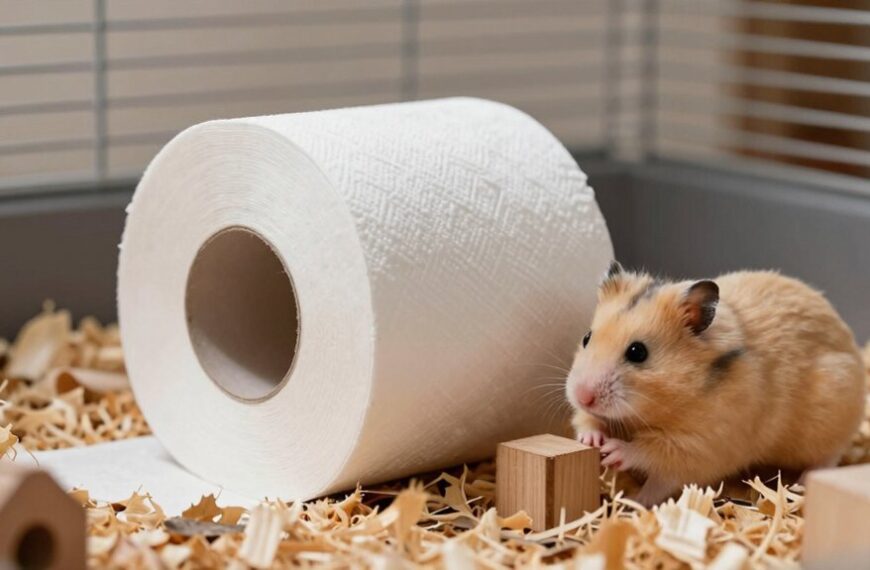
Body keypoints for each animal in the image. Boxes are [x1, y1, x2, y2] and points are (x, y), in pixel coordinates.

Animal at [565, 262, 866, 507]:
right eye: (587, 338)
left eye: (638, 352)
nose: (583, 396)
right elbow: (587, 421)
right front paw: (593, 440)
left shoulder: (700, 447)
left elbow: (653, 461)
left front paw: (621, 467)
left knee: (829, 456)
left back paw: (803, 483)